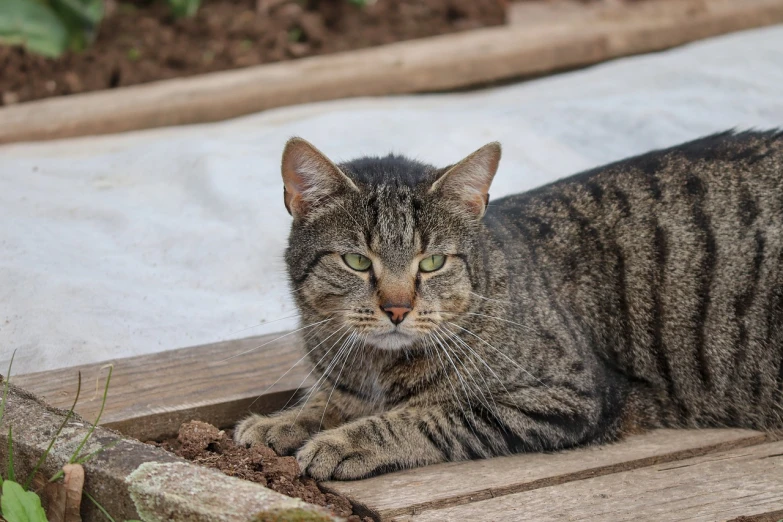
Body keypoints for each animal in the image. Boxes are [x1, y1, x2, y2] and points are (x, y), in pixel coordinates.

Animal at [236, 130, 783, 480]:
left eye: (432, 262)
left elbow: (429, 415)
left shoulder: (567, 396)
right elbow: (326, 402)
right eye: (355, 260)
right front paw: (280, 422)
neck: (378, 368)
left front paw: (346, 441)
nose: (396, 309)